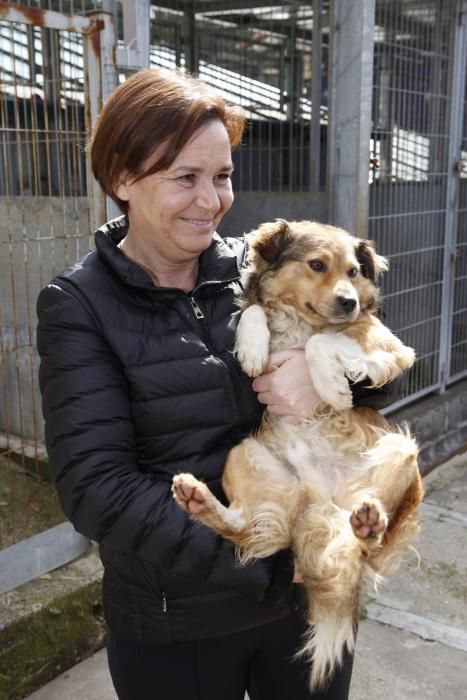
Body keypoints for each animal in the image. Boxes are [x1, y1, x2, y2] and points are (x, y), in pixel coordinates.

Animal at [172, 219, 424, 688]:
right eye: (317, 265)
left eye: (354, 271)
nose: (348, 302)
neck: (300, 318)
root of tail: (322, 505)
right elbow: (254, 310)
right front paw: (253, 346)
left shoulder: (390, 346)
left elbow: (320, 344)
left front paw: (332, 386)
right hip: (246, 452)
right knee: (247, 528)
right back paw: (196, 499)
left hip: (399, 451)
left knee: (368, 548)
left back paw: (369, 524)